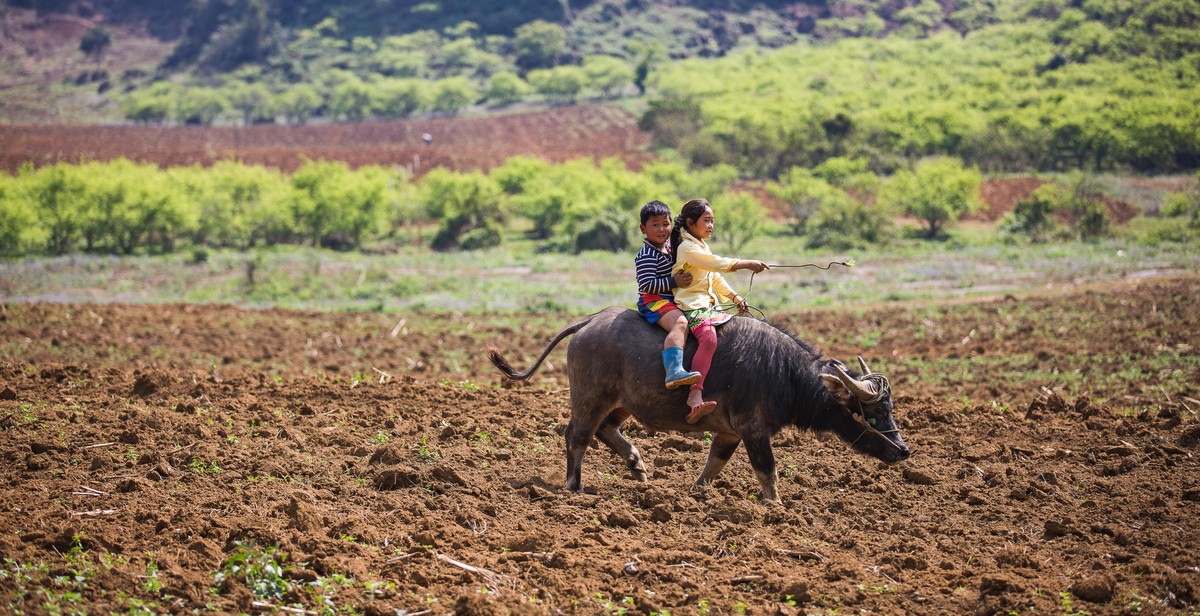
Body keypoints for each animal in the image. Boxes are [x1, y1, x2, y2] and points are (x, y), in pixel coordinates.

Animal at [487, 304, 907, 501]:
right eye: (876, 410)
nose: (903, 450)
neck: (783, 372)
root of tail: (589, 322)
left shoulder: (730, 433)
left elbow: (714, 465)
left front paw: (695, 494)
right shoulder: (754, 430)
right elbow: (767, 470)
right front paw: (776, 506)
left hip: (622, 402)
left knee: (607, 430)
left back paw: (638, 466)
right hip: (590, 397)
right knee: (577, 436)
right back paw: (573, 486)